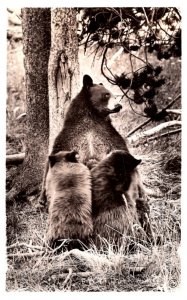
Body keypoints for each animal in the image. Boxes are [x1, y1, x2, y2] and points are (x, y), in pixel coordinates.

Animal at [38, 73, 152, 244]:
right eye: (106, 95)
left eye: (112, 93)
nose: (118, 105)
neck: (92, 117)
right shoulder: (69, 135)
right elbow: (54, 155)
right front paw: (41, 200)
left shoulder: (108, 135)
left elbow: (123, 152)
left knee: (142, 211)